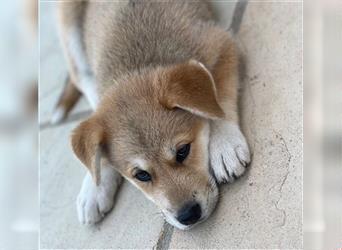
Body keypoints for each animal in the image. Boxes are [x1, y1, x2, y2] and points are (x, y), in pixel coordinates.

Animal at [54, 0, 251, 230]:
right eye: (141, 175)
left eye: (183, 151)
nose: (188, 215)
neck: (134, 65)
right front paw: (98, 182)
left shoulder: (221, 43)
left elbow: (218, 101)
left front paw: (224, 145)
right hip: (67, 22)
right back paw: (93, 187)